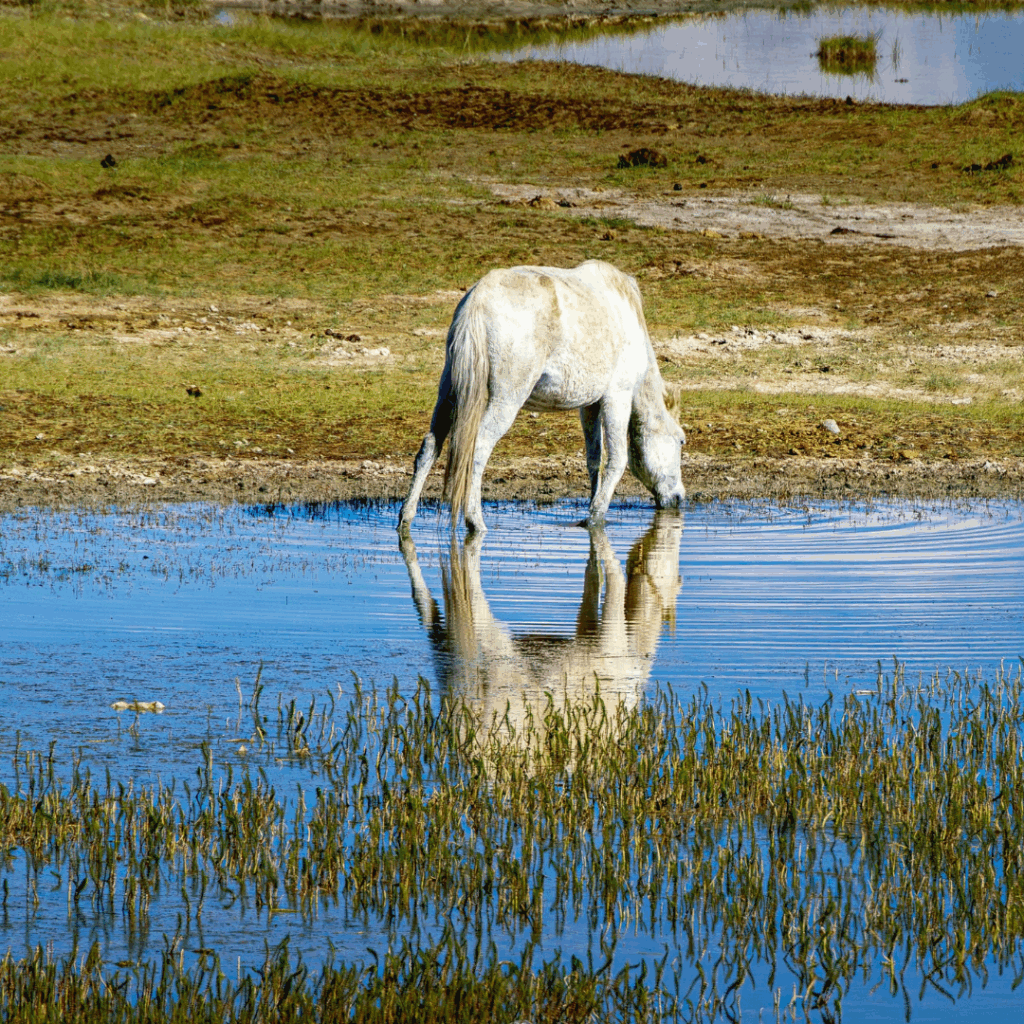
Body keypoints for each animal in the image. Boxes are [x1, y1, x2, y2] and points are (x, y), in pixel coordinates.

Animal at [398, 260, 686, 535]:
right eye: (681, 441)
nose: (679, 498)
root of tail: (477, 301)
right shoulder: (618, 397)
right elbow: (617, 460)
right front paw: (596, 517)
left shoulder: (590, 406)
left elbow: (594, 459)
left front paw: (593, 506)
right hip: (507, 399)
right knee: (478, 449)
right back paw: (475, 521)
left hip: (449, 391)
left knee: (430, 446)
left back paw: (406, 517)